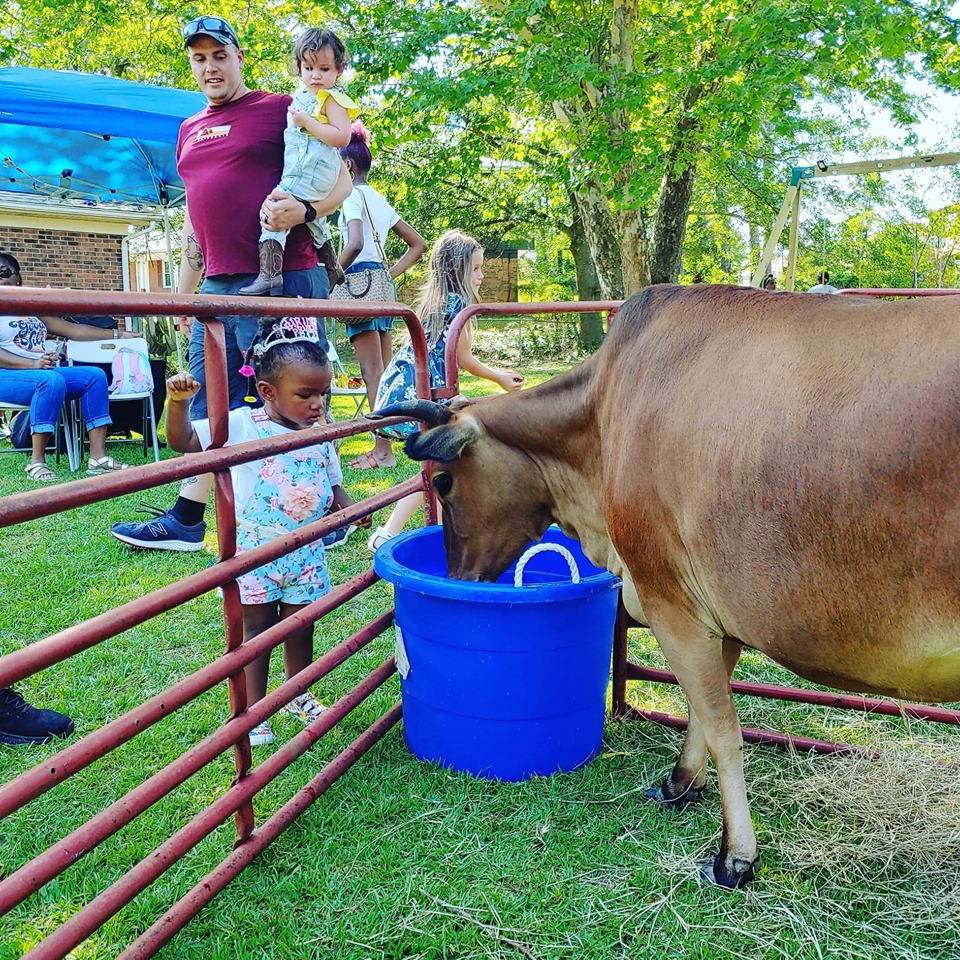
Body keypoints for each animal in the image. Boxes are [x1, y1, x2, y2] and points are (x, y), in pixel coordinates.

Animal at [372, 286, 960, 892]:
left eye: (444, 481)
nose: (459, 577)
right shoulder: (713, 615)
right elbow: (702, 711)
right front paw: (681, 782)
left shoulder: (669, 599)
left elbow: (723, 726)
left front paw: (736, 856)